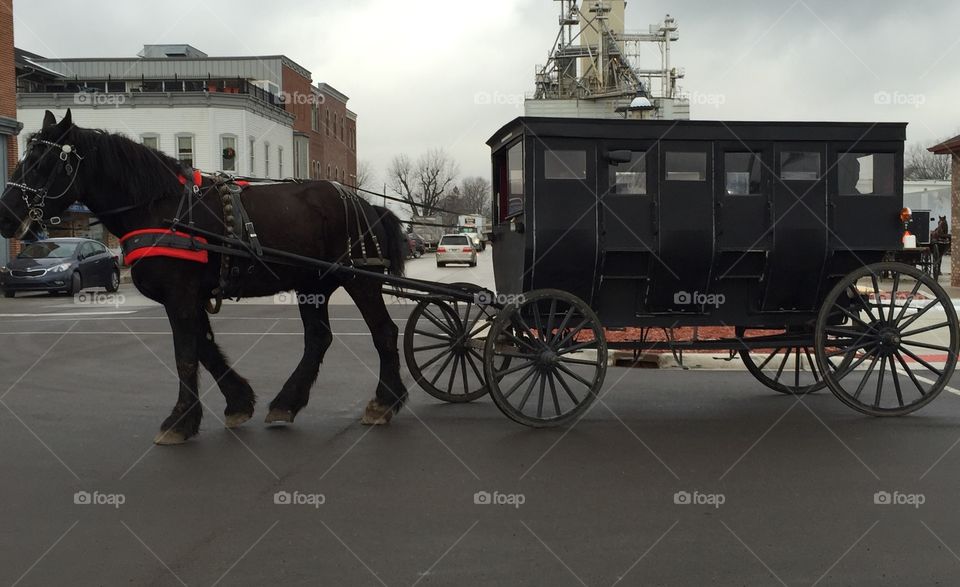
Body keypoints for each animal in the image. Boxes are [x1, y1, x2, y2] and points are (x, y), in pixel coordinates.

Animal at [0, 110, 408, 444]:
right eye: (25, 157)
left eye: (44, 163)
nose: (5, 214)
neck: (159, 207)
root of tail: (366, 204)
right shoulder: (190, 296)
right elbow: (205, 348)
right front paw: (238, 402)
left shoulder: (179, 293)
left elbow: (185, 354)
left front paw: (179, 421)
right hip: (312, 284)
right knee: (318, 340)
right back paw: (287, 403)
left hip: (359, 280)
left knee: (384, 332)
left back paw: (385, 401)